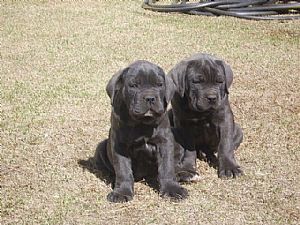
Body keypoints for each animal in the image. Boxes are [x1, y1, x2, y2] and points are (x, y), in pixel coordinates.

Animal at [98, 60, 188, 203]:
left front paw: (172, 189)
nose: (150, 98)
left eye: (159, 84)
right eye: (134, 85)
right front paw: (122, 192)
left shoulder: (165, 141)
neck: (141, 122)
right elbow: (123, 170)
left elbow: (167, 167)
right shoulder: (119, 145)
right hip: (101, 147)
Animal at [169, 53, 244, 181]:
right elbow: (189, 148)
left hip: (238, 130)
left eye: (220, 81)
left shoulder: (225, 119)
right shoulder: (183, 124)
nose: (212, 97)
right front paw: (188, 167)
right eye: (197, 82)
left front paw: (229, 167)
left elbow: (225, 144)